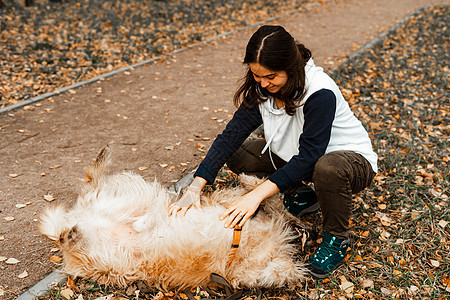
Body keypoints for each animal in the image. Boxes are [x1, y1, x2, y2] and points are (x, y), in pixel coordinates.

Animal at [40, 146, 308, 290]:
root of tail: (77, 218)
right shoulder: (229, 203)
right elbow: (268, 197)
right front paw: (249, 181)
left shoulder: (245, 272)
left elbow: (284, 268)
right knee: (89, 184)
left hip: (107, 258)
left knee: (82, 202)